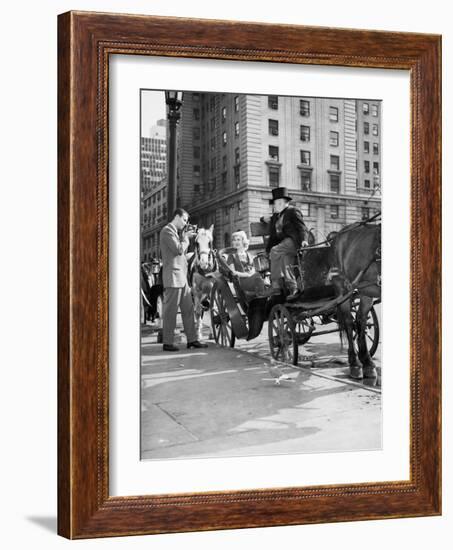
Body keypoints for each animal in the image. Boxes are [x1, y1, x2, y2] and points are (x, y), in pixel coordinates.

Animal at [326, 222, 380, 382]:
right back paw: (355, 363)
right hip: (343, 289)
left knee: (360, 320)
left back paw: (367, 362)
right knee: (349, 323)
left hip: (366, 291)